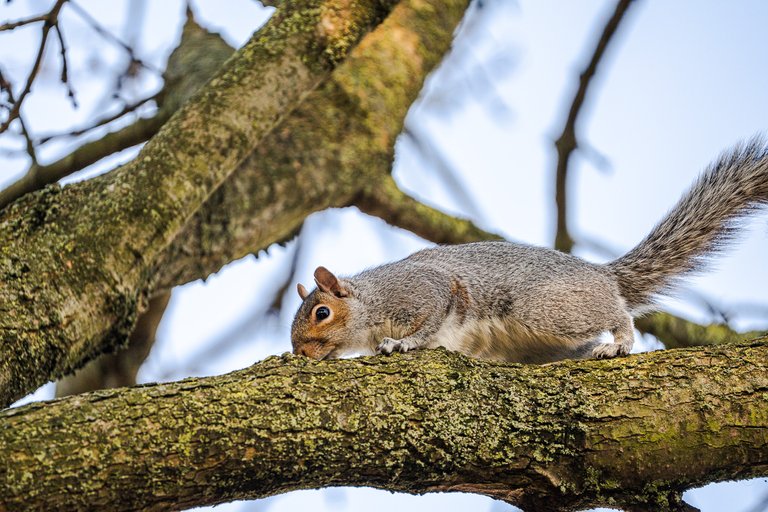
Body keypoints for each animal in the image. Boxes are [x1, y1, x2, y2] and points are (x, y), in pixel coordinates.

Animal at [290, 140, 768, 362]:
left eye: (321, 313)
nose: (300, 354)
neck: (370, 305)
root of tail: (602, 274)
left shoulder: (424, 290)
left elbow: (431, 319)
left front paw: (402, 344)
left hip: (548, 309)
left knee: (617, 313)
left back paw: (619, 341)